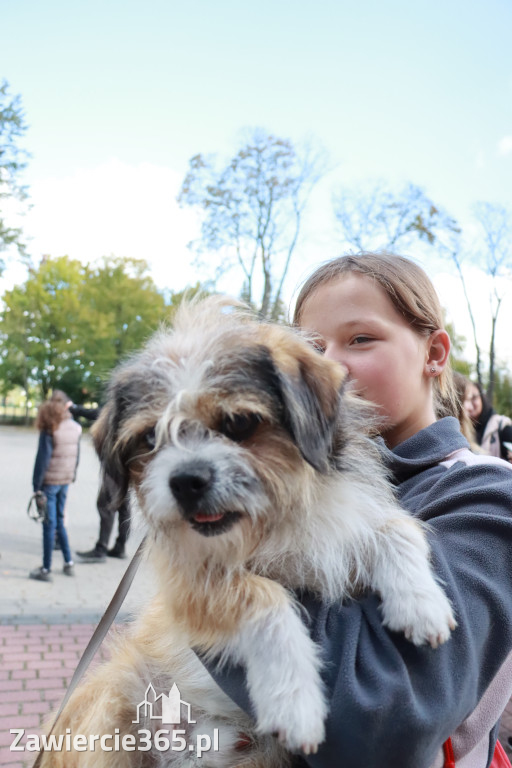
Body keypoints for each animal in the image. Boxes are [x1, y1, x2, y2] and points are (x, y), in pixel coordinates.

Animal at [40, 296, 456, 764]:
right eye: (149, 438)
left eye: (239, 423)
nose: (185, 482)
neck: (271, 521)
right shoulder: (190, 583)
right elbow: (266, 596)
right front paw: (295, 703)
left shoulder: (341, 524)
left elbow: (395, 529)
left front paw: (421, 604)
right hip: (114, 707)